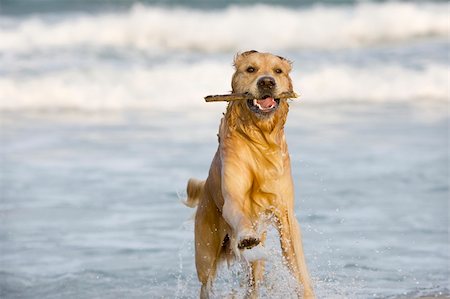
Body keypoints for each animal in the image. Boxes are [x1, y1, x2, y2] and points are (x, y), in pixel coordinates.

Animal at [185, 50, 314, 298]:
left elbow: (299, 268)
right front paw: (246, 236)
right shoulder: (234, 198)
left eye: (278, 71)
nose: (267, 82)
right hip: (205, 250)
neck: (260, 139)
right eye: (251, 69)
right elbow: (239, 212)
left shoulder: (286, 212)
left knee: (253, 281)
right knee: (205, 283)